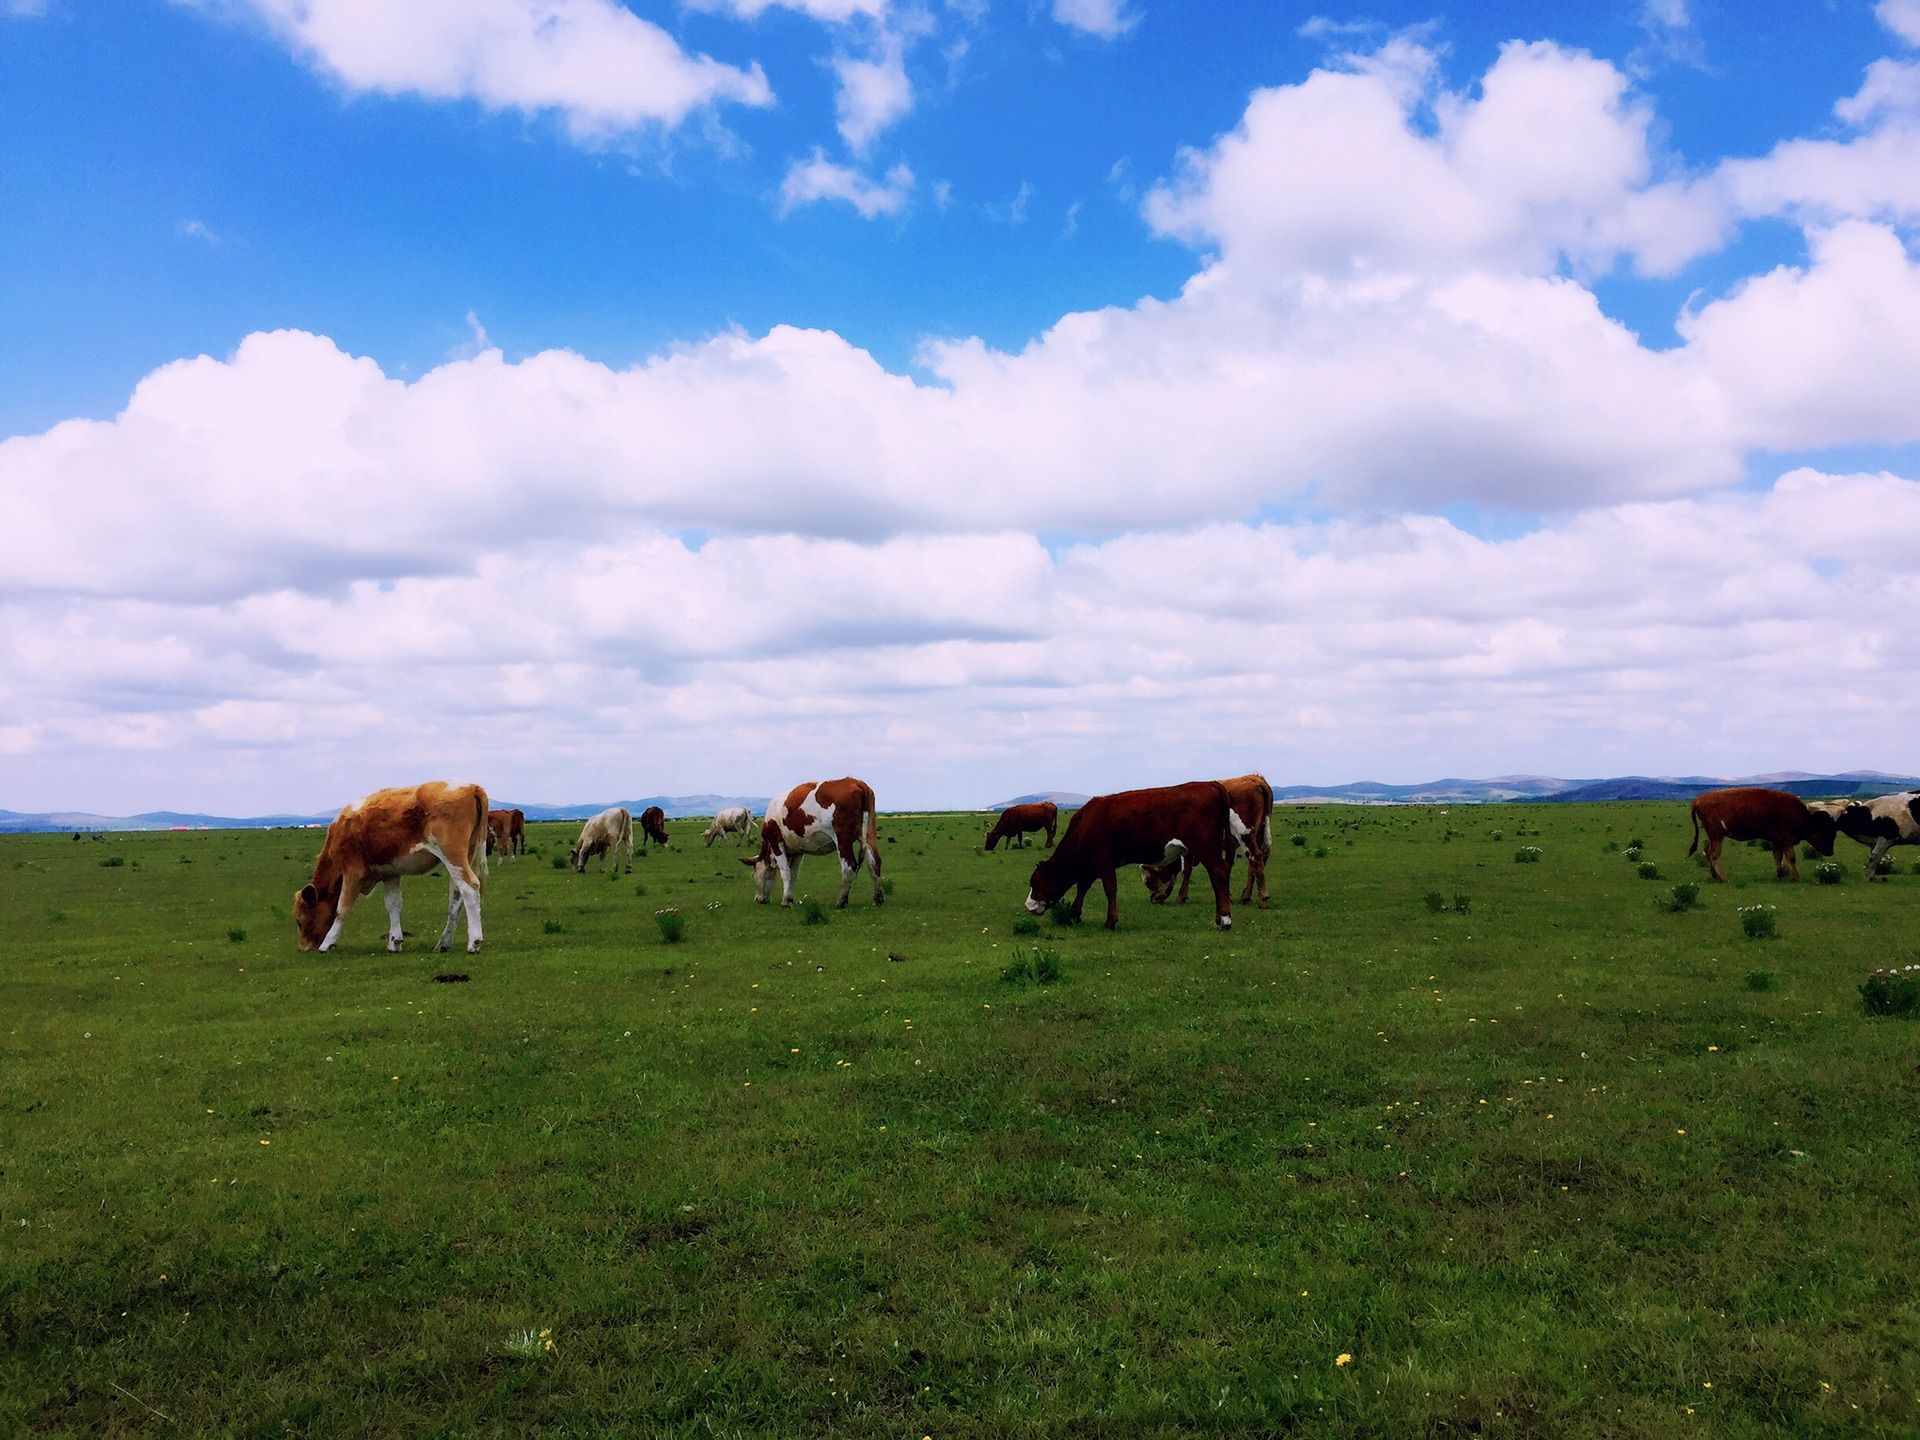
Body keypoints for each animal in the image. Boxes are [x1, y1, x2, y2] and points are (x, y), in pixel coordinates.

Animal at [293, 779, 487, 960]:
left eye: (299, 921)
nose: (303, 948)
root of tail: (471, 787)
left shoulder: (352, 873)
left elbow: (342, 908)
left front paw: (327, 943)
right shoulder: (390, 873)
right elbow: (393, 904)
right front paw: (395, 941)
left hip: (453, 855)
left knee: (470, 888)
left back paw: (474, 942)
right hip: (463, 857)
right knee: (456, 897)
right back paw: (444, 943)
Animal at [741, 779, 883, 913]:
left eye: (753, 875)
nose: (758, 899)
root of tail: (856, 782)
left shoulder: (776, 842)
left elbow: (785, 872)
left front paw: (785, 901)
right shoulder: (797, 850)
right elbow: (793, 873)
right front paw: (790, 898)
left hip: (843, 839)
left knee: (849, 867)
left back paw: (841, 901)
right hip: (868, 834)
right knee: (874, 862)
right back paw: (878, 898)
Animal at [1029, 783, 1236, 929]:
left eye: (1035, 882)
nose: (1028, 905)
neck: (1085, 825)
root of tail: (1211, 784)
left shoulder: (1103, 861)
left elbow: (1110, 889)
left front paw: (1110, 921)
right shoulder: (1091, 865)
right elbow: (1082, 887)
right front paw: (1075, 914)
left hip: (1206, 847)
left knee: (1218, 872)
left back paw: (1225, 919)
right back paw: (1219, 916)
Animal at [1136, 771, 1274, 906]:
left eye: (1149, 881)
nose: (1153, 899)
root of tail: (1255, 778)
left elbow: (1186, 870)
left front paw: (1181, 896)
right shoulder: (1228, 846)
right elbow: (1227, 866)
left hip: (1246, 834)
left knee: (1256, 857)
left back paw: (1263, 899)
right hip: (1258, 834)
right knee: (1256, 860)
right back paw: (1246, 895)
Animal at [1689, 783, 1835, 887]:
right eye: (1827, 832)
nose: (1830, 852)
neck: (1805, 817)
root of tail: (1698, 800)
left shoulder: (1777, 841)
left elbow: (1778, 857)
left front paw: (1780, 875)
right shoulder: (1787, 841)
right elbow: (1791, 858)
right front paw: (1795, 877)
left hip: (1713, 837)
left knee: (1707, 851)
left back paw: (1715, 875)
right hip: (1717, 836)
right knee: (1714, 855)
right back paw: (1724, 878)